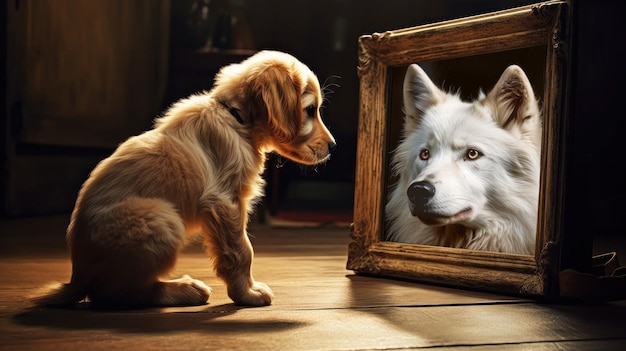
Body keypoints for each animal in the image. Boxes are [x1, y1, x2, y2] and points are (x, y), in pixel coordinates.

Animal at [33, 49, 336, 308]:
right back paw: (183, 289)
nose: (333, 146)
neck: (236, 118)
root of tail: (77, 276)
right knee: (116, 293)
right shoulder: (224, 202)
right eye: (310, 110)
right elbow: (242, 250)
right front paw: (247, 294)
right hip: (162, 217)